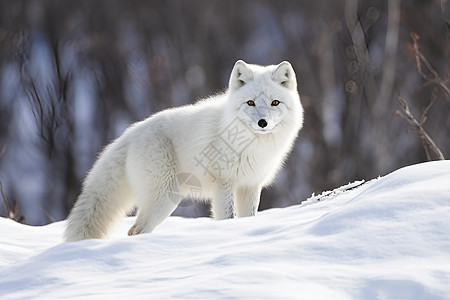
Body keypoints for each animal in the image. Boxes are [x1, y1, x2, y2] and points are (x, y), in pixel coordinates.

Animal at [65, 60, 304, 241]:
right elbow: (227, 218)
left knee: (133, 230)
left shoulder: (250, 185)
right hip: (166, 199)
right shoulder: (224, 184)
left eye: (275, 103)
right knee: (139, 231)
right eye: (251, 103)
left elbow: (248, 218)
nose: (263, 123)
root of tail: (130, 133)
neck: (253, 145)